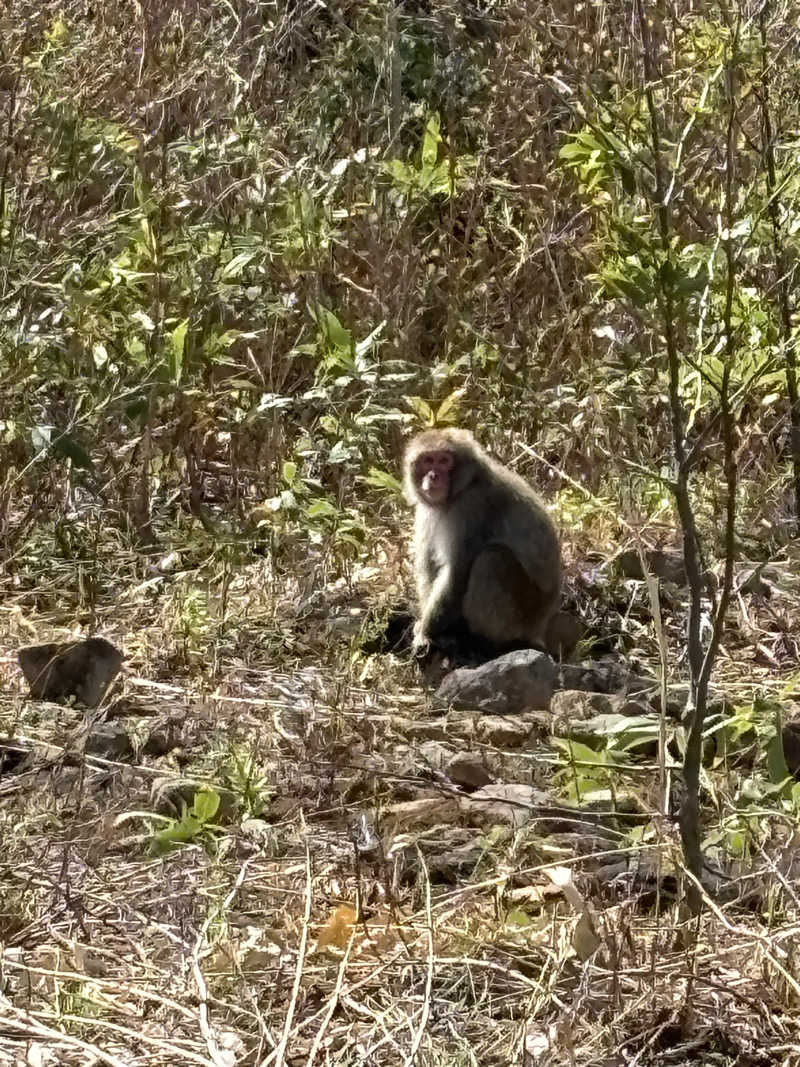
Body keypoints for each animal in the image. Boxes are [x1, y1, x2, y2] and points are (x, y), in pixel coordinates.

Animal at [403, 426, 558, 661]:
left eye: (444, 460)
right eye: (428, 460)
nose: (433, 476)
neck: (464, 486)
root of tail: (540, 627)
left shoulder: (471, 507)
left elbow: (457, 573)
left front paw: (426, 633)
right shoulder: (426, 511)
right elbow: (429, 567)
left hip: (525, 611)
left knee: (491, 558)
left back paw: (490, 643)